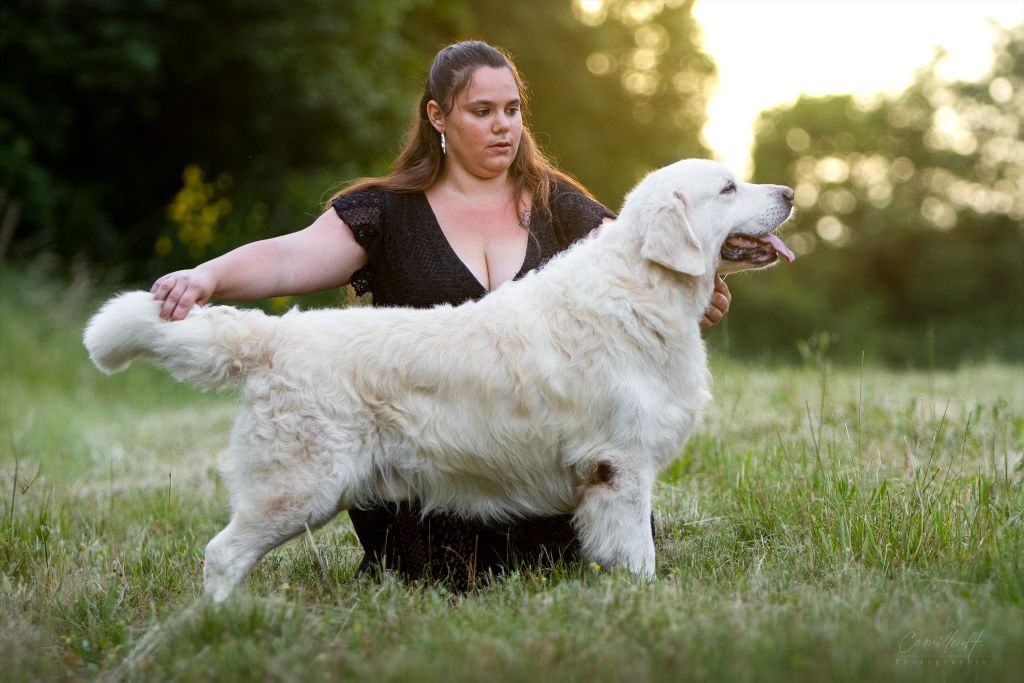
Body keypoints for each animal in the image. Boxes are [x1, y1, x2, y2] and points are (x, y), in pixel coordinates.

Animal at [83, 158, 794, 598]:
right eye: (728, 189)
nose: (789, 193)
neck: (643, 290)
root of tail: (275, 336)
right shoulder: (621, 467)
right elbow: (639, 556)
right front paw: (645, 606)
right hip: (298, 485)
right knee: (221, 553)